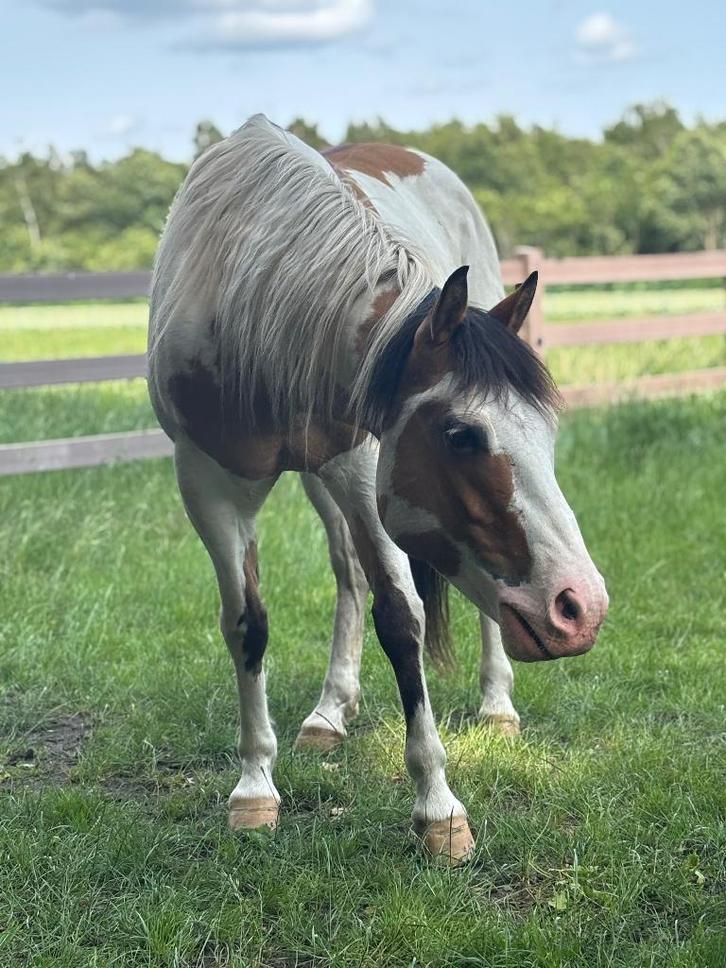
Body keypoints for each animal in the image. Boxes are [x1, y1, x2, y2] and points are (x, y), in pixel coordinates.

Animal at [148, 115, 608, 864]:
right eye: (461, 435)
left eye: (547, 429)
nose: (581, 609)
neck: (251, 298)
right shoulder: (208, 485)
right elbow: (248, 624)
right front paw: (254, 787)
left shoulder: (364, 467)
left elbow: (402, 617)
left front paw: (438, 808)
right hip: (319, 481)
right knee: (348, 574)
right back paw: (330, 711)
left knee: (467, 606)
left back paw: (497, 706)